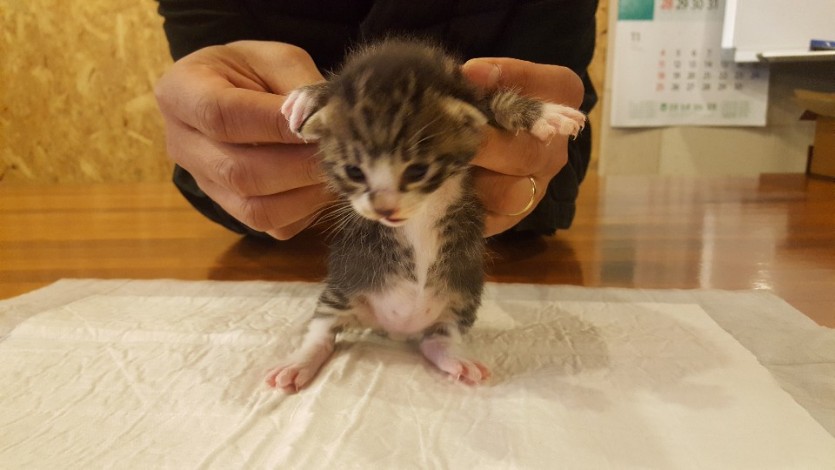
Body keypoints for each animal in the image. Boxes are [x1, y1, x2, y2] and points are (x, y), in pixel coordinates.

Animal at [265, 38, 585, 392]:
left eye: (418, 171)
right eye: (354, 172)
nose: (384, 208)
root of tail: (397, 328)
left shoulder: (473, 100)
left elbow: (499, 100)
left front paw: (547, 114)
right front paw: (309, 96)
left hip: (463, 292)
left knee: (437, 338)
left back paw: (453, 357)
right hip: (343, 286)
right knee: (322, 330)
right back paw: (299, 362)